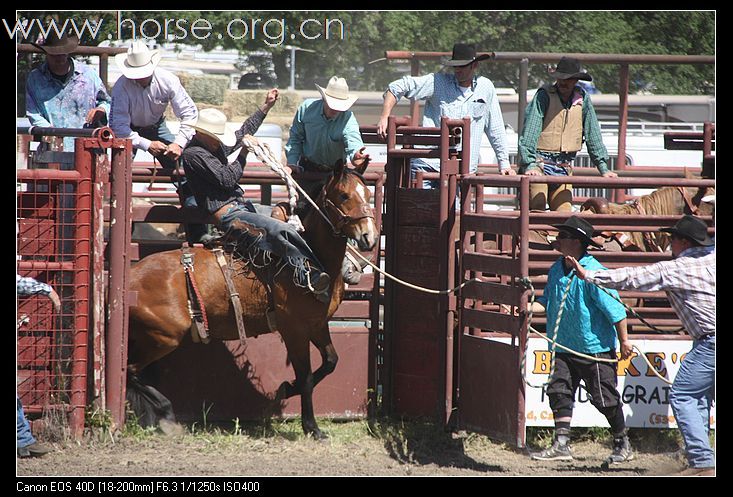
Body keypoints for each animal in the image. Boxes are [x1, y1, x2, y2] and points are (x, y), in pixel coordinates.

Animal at [126, 160, 378, 438]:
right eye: (343, 195)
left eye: (368, 193)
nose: (369, 237)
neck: (311, 260)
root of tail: (131, 276)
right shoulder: (294, 330)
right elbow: (307, 379)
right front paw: (311, 426)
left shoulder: (318, 324)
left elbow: (331, 361)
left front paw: (288, 388)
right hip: (164, 337)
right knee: (131, 370)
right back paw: (168, 414)